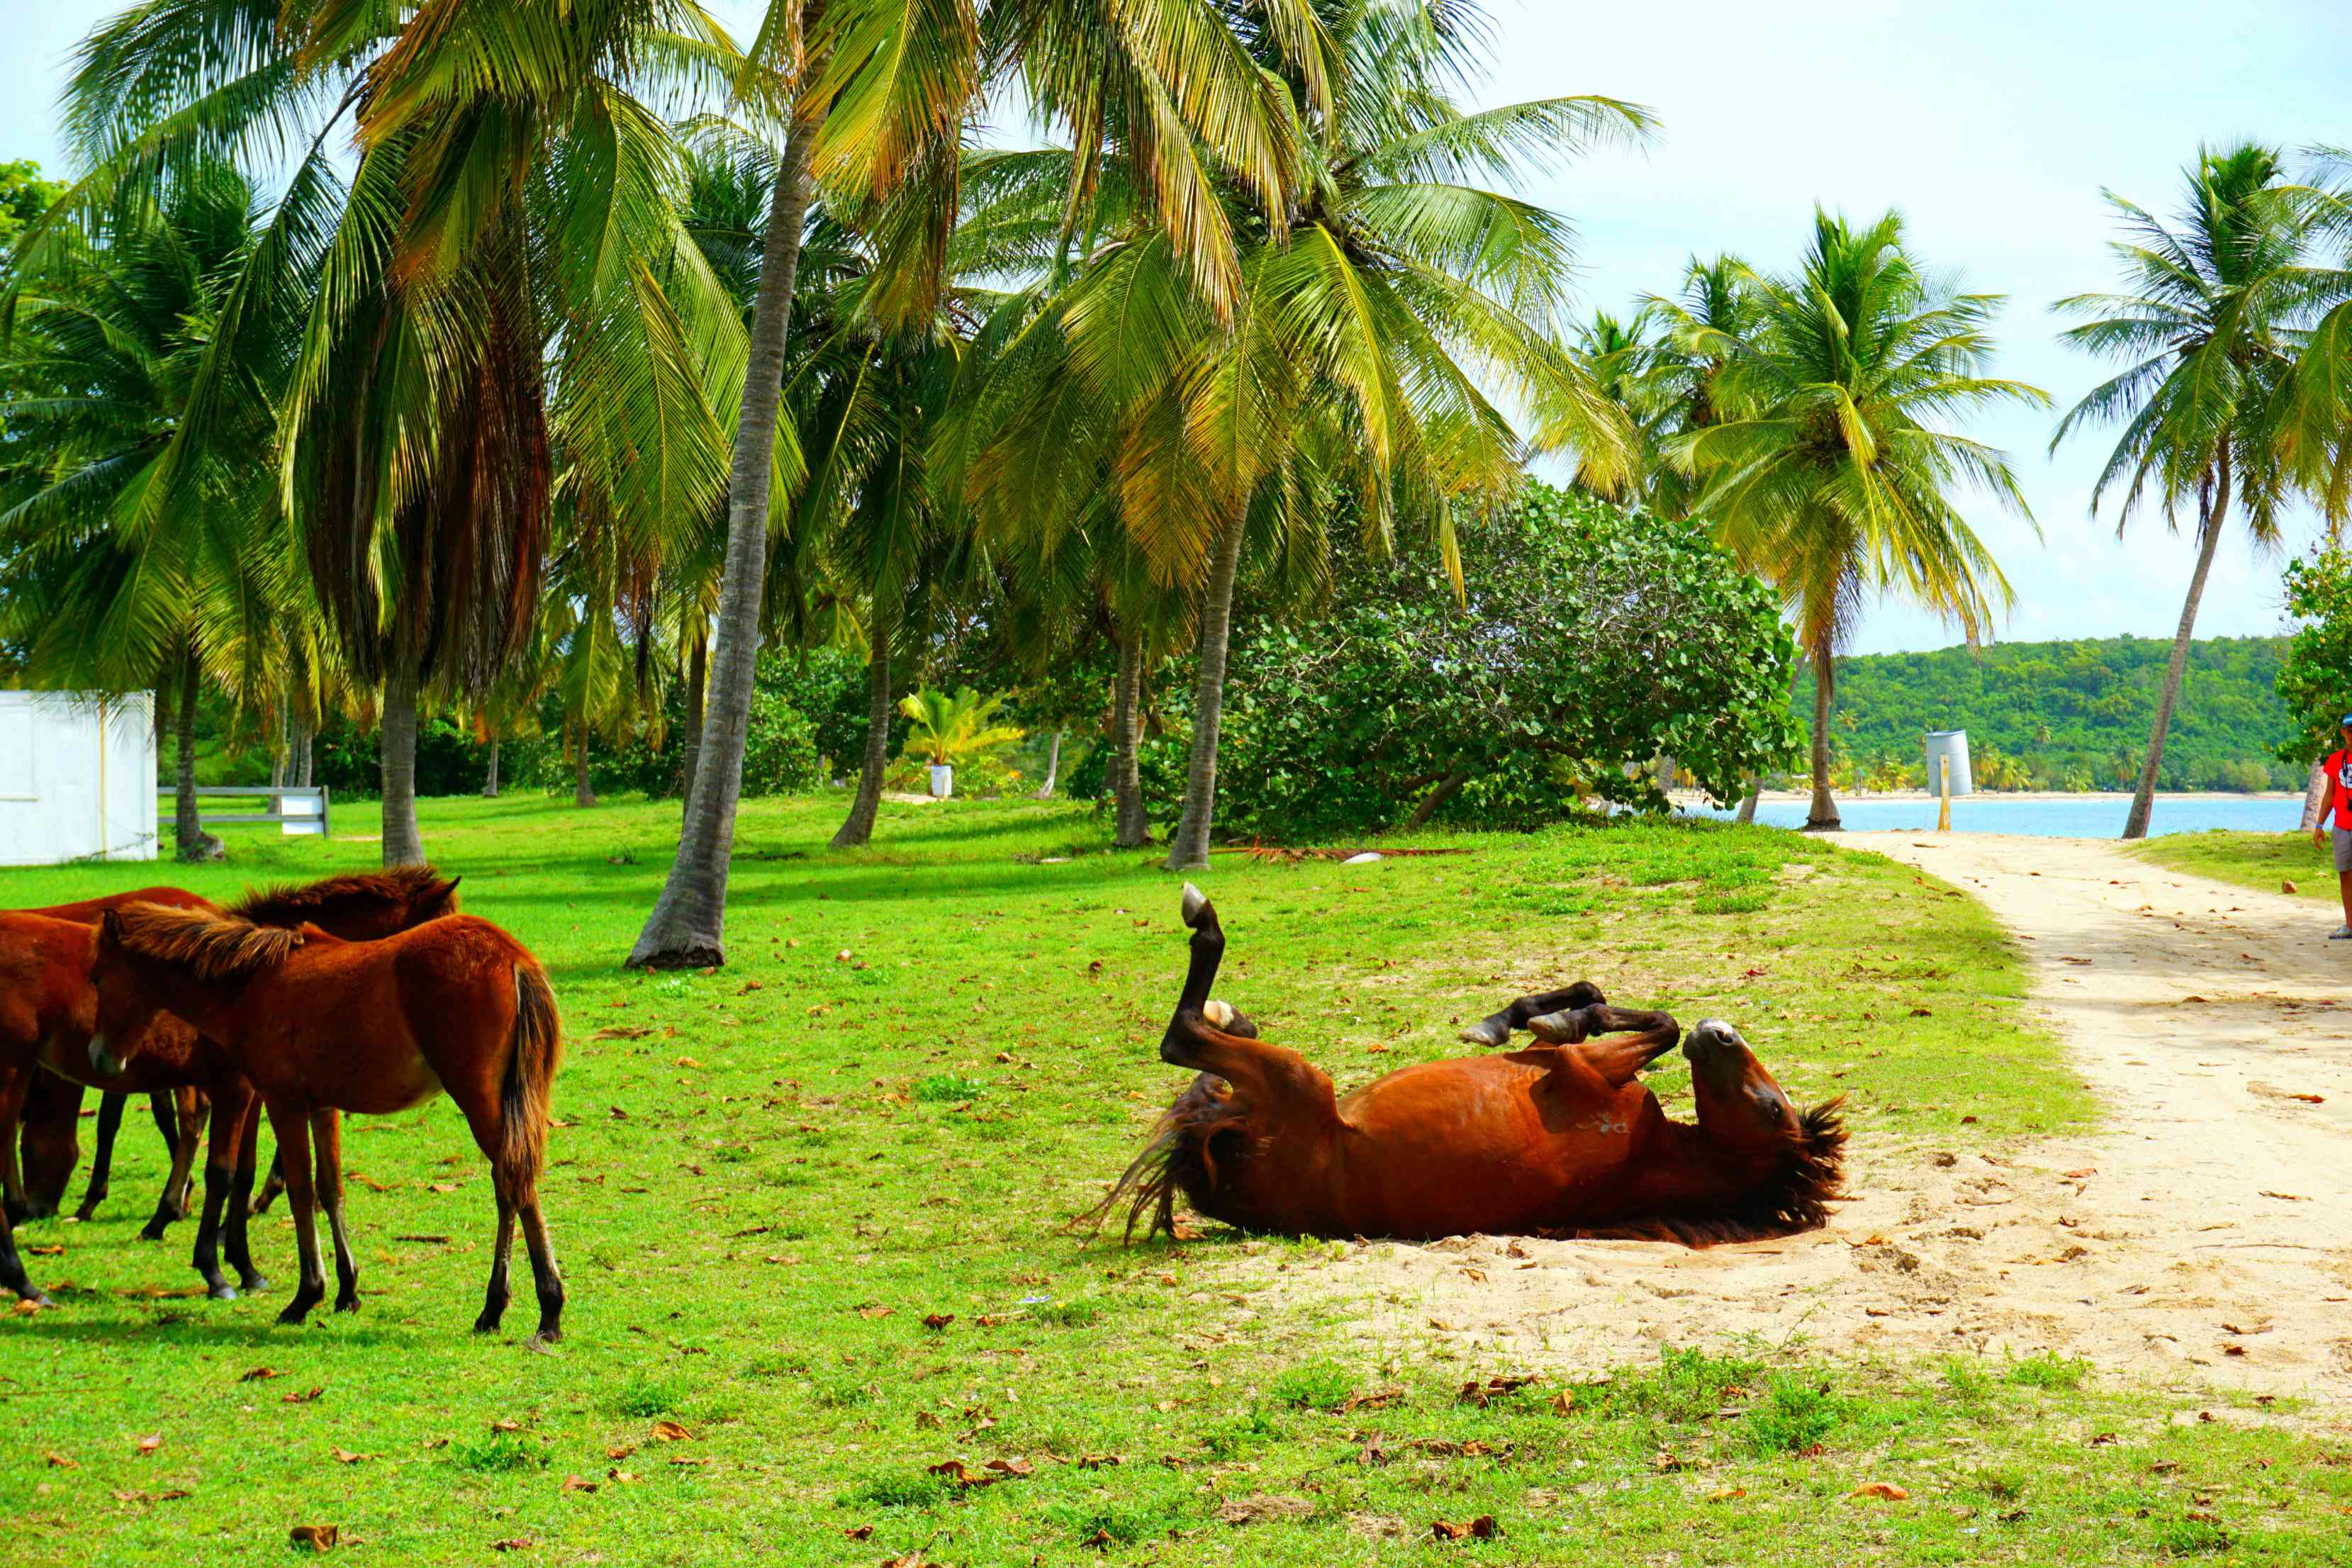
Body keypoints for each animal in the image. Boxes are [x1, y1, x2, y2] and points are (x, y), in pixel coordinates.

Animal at [0, 865, 459, 1306]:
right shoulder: (236, 1088)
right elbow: (224, 1170)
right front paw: (217, 1267)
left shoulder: (249, 1091)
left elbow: (243, 1170)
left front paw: (242, 1261)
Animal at [93, 902, 573, 1344]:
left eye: (97, 977)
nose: (101, 1058)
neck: (252, 983)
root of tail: (512, 955)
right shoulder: (322, 1108)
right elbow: (331, 1190)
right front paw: (347, 1290)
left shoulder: (283, 1103)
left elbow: (301, 1194)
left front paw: (306, 1295)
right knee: (513, 1186)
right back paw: (510, 1309)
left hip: (479, 1100)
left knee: (513, 1183)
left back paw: (533, 1309)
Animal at [1091, 888, 1844, 1241]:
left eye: (1772, 1107)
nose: (1723, 1033)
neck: (1651, 1152)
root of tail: (1215, 1168)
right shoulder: (1564, 1063)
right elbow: (1603, 1002)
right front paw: (1522, 1016)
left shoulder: (1581, 1073)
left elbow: (1653, 1025)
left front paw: (1550, 1017)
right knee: (1202, 1075)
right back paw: (1234, 1012)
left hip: (1298, 1081)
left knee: (1183, 1042)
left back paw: (1205, 928)